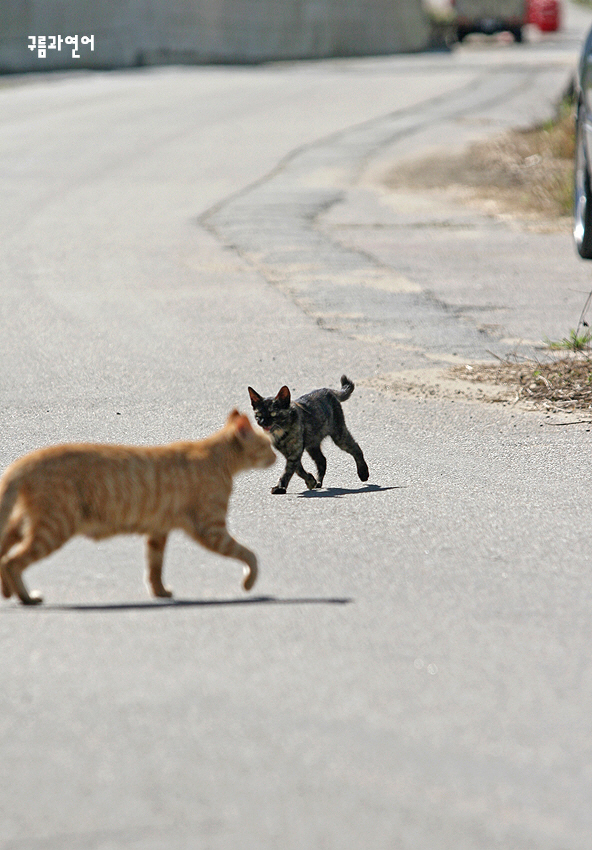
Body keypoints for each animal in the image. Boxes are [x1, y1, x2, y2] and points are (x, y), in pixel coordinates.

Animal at [0, 410, 276, 604]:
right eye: (267, 445)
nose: (276, 456)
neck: (215, 456)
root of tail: (27, 460)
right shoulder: (211, 529)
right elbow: (248, 554)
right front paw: (249, 583)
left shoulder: (158, 531)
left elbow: (154, 567)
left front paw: (160, 592)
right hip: (55, 527)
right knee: (12, 562)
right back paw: (26, 598)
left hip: (29, 524)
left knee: (4, 552)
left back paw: (7, 593)